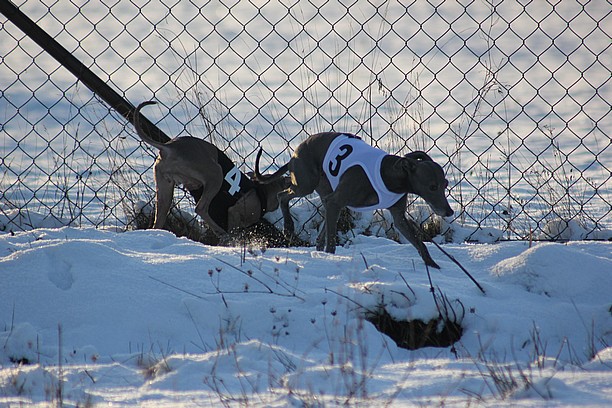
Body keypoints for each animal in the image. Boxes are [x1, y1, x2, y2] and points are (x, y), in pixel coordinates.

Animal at [134, 100, 286, 237]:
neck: (261, 191)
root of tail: (169, 147)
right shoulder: (234, 212)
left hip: (164, 188)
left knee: (158, 221)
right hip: (215, 174)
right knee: (200, 208)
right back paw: (220, 231)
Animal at [255, 132, 454, 270]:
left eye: (445, 184)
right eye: (432, 187)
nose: (449, 212)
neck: (388, 173)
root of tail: (296, 151)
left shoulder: (399, 216)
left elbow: (419, 243)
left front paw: (432, 265)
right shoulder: (336, 201)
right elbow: (332, 242)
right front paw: (331, 258)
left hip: (324, 190)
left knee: (322, 218)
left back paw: (316, 248)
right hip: (306, 184)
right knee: (282, 195)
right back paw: (288, 227)